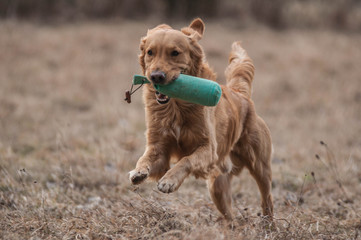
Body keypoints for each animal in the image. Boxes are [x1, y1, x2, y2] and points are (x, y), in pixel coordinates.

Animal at [128, 18, 272, 219]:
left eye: (175, 53)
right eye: (150, 52)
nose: (156, 76)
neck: (176, 107)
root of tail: (240, 94)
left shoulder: (208, 149)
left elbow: (186, 160)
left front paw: (169, 181)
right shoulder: (159, 147)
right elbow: (145, 157)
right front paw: (139, 171)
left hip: (260, 166)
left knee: (267, 199)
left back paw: (269, 222)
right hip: (217, 186)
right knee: (230, 218)